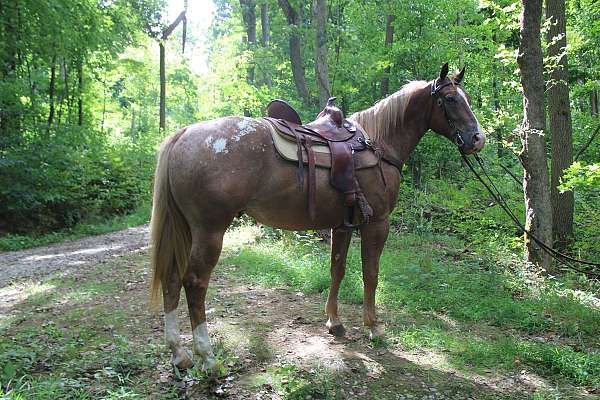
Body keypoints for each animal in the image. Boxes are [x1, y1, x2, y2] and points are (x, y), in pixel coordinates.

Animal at [148, 62, 486, 368]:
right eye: (451, 99)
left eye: (466, 97)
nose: (477, 139)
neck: (378, 144)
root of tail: (183, 134)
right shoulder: (377, 223)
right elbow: (371, 273)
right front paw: (373, 327)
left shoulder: (344, 225)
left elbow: (337, 269)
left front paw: (334, 322)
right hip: (210, 231)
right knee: (194, 282)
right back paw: (207, 357)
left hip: (185, 229)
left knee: (172, 277)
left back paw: (179, 354)